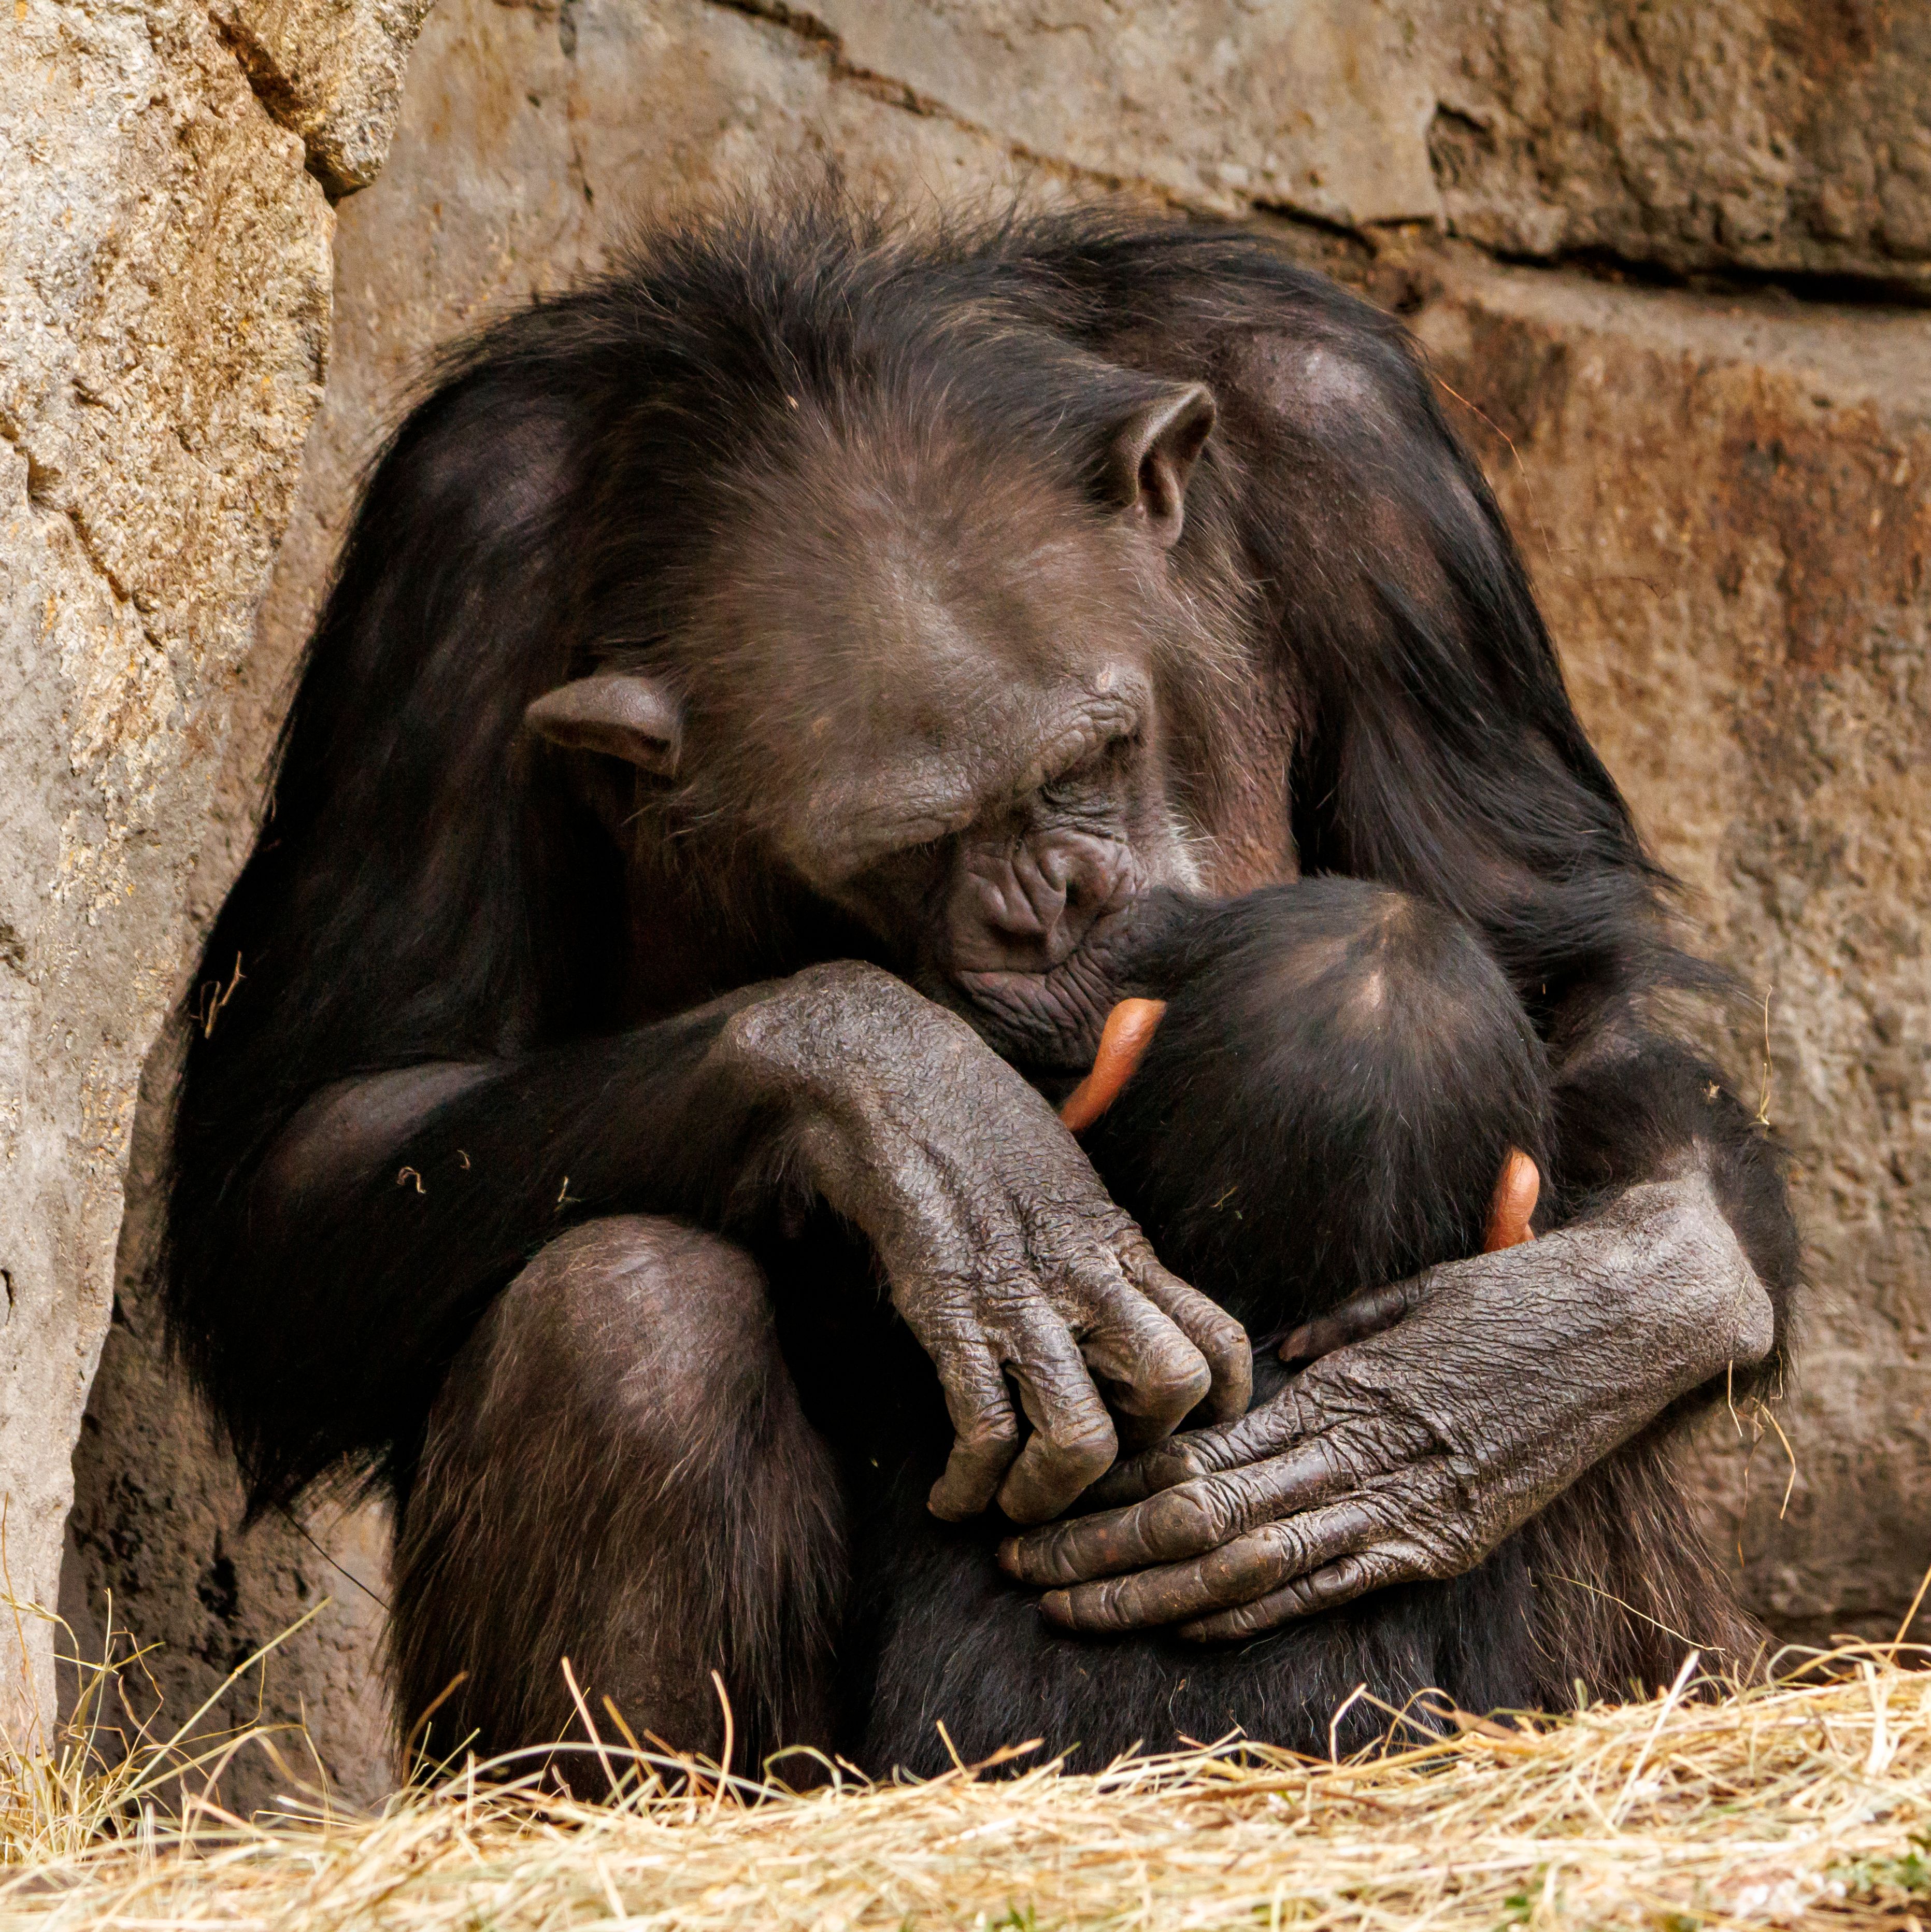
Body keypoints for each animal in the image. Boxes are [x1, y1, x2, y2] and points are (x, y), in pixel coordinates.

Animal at [159, 194, 1797, 1789]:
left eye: (1088, 758)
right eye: (909, 850)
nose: (1049, 906)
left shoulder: (1360, 445)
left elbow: (1556, 978)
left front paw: (1521, 1366)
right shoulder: (456, 549)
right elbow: (316, 1144)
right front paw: (924, 1120)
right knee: (620, 1315)